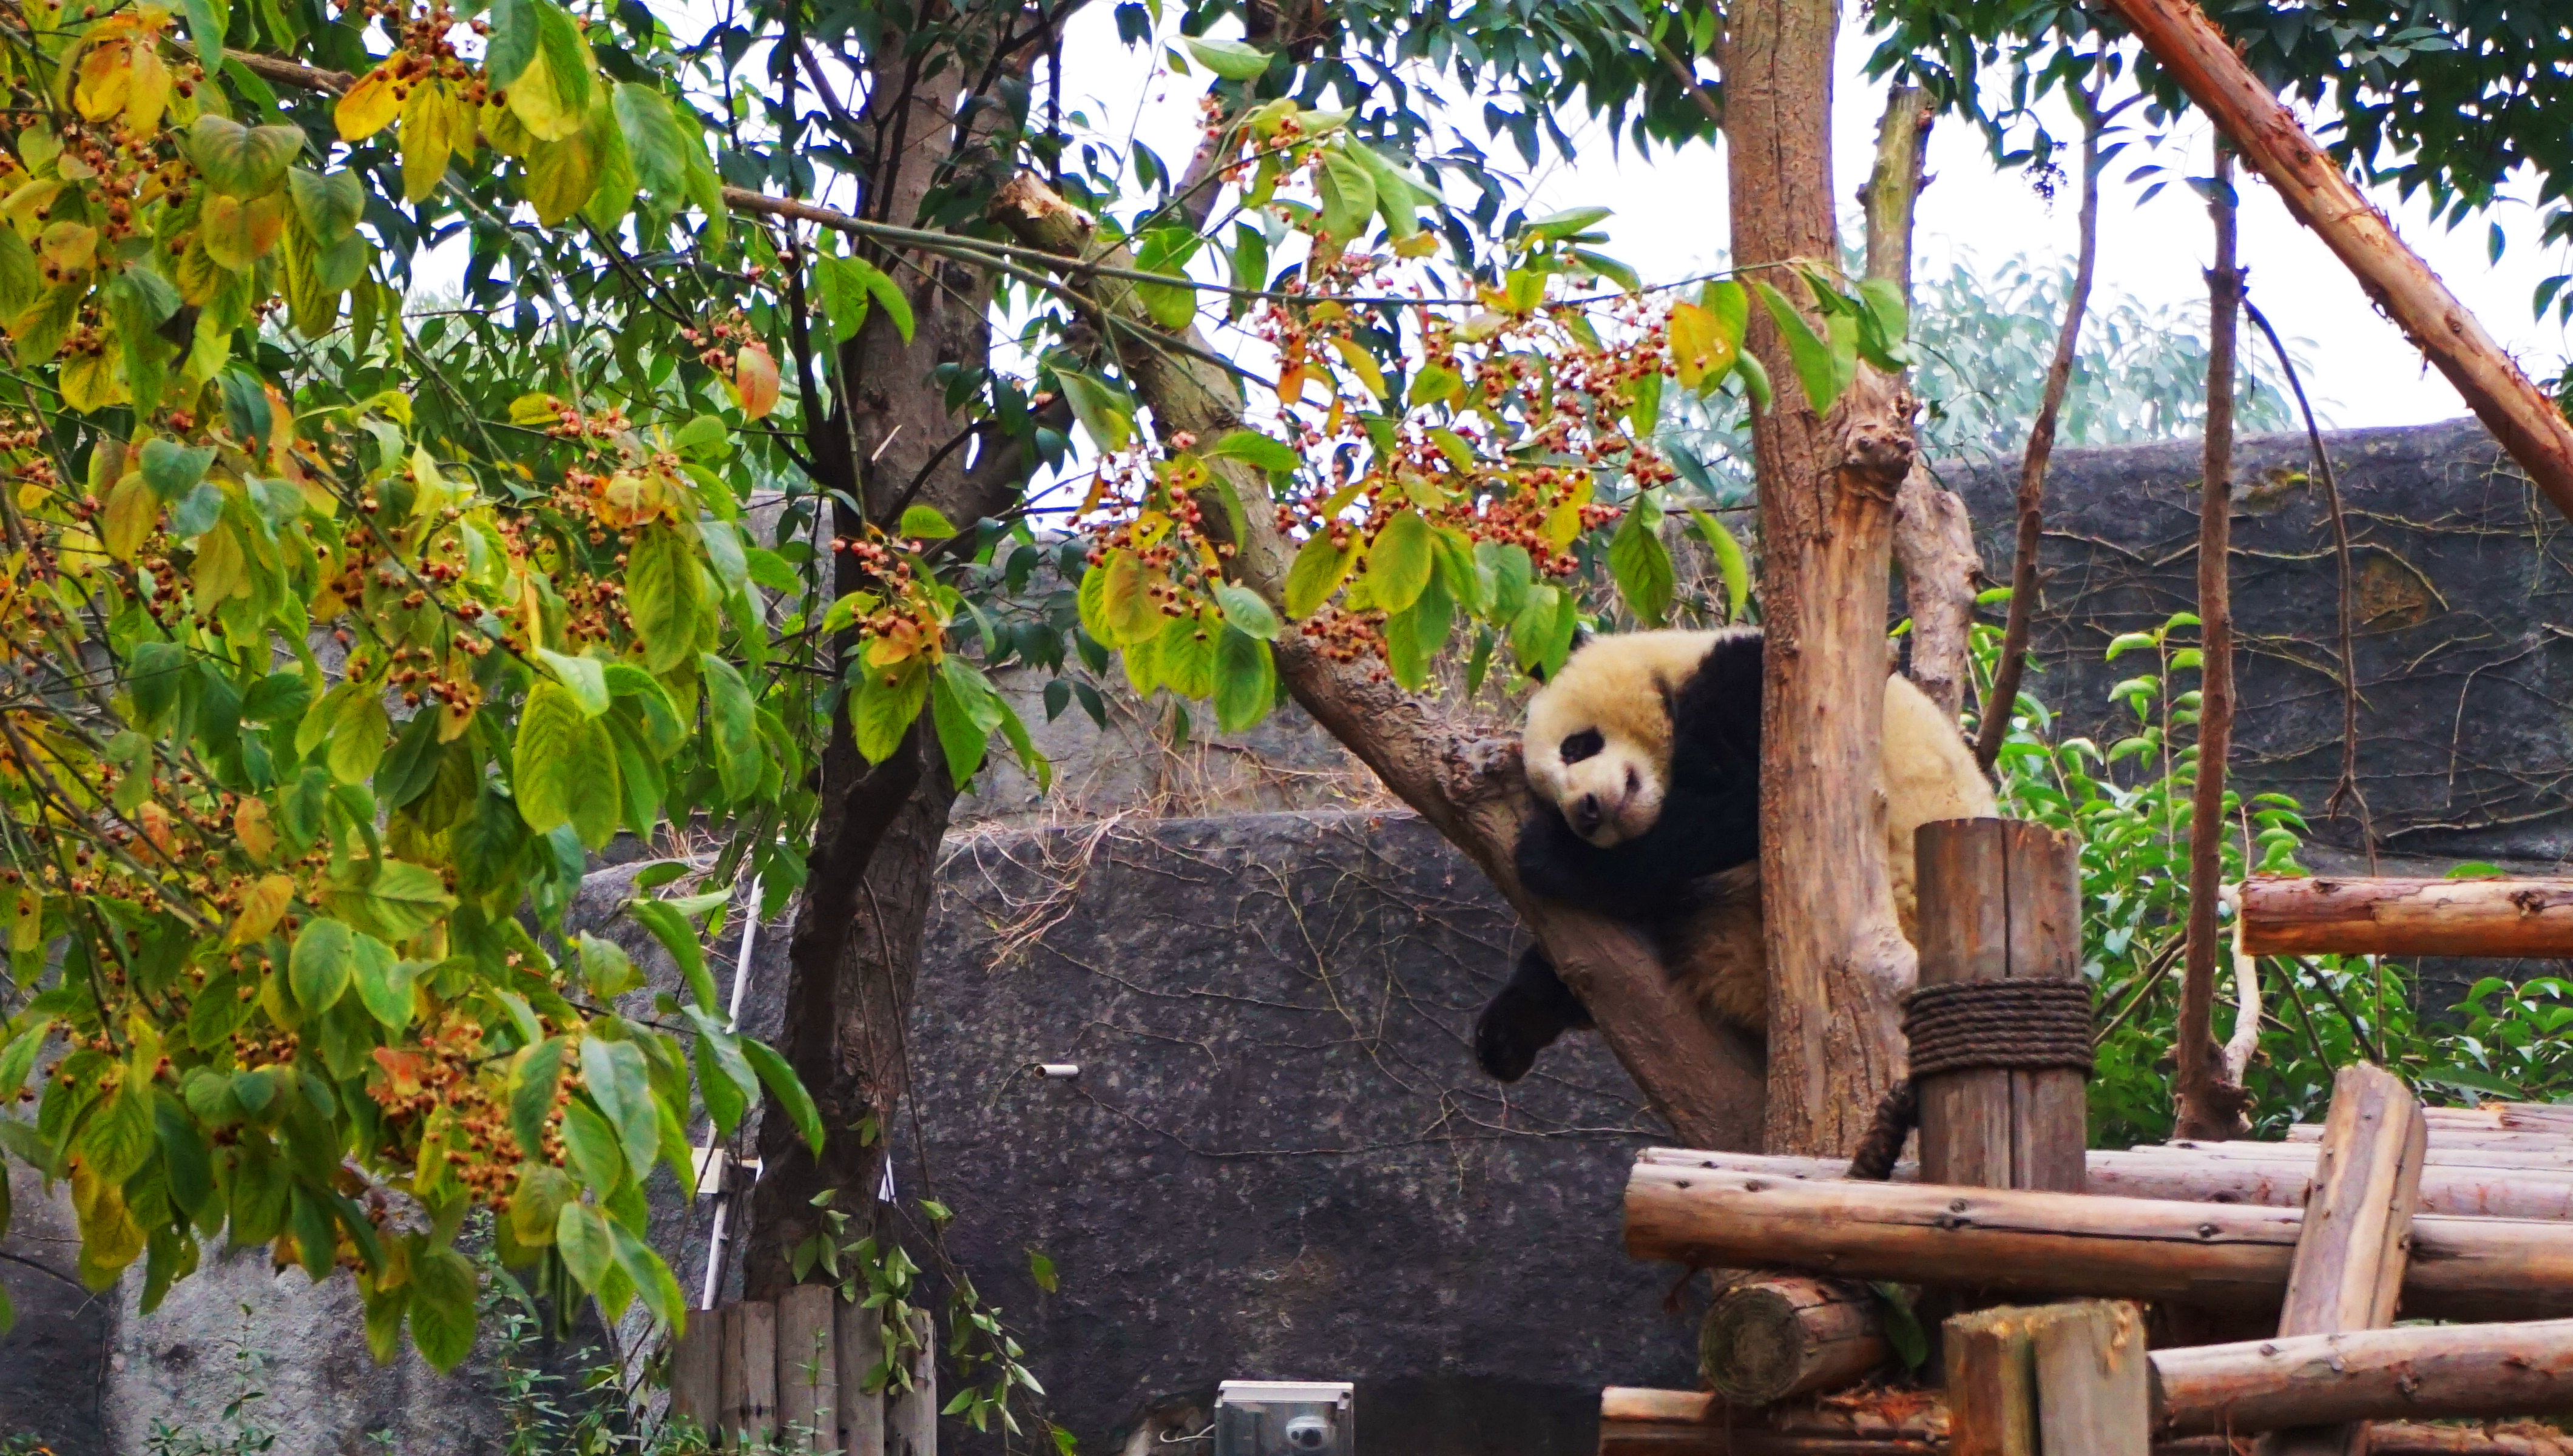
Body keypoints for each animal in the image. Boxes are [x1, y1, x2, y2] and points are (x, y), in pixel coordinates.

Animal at [1482, 627, 1997, 1085]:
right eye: (1550, 799)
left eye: (1575, 747)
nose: (1584, 814)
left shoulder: (1754, 687)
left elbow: (1748, 800)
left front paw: (1550, 856)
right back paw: (1508, 1033)